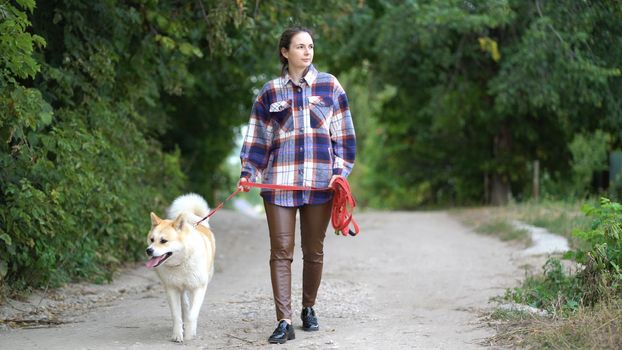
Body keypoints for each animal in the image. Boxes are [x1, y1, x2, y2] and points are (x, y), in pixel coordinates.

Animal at [146, 193, 217, 344]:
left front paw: (190, 333)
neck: (182, 263)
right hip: (180, 287)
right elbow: (177, 315)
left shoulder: (199, 288)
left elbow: (192, 315)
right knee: (184, 303)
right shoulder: (171, 289)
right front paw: (177, 335)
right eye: (152, 239)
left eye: (163, 241)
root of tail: (199, 223)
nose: (148, 251)